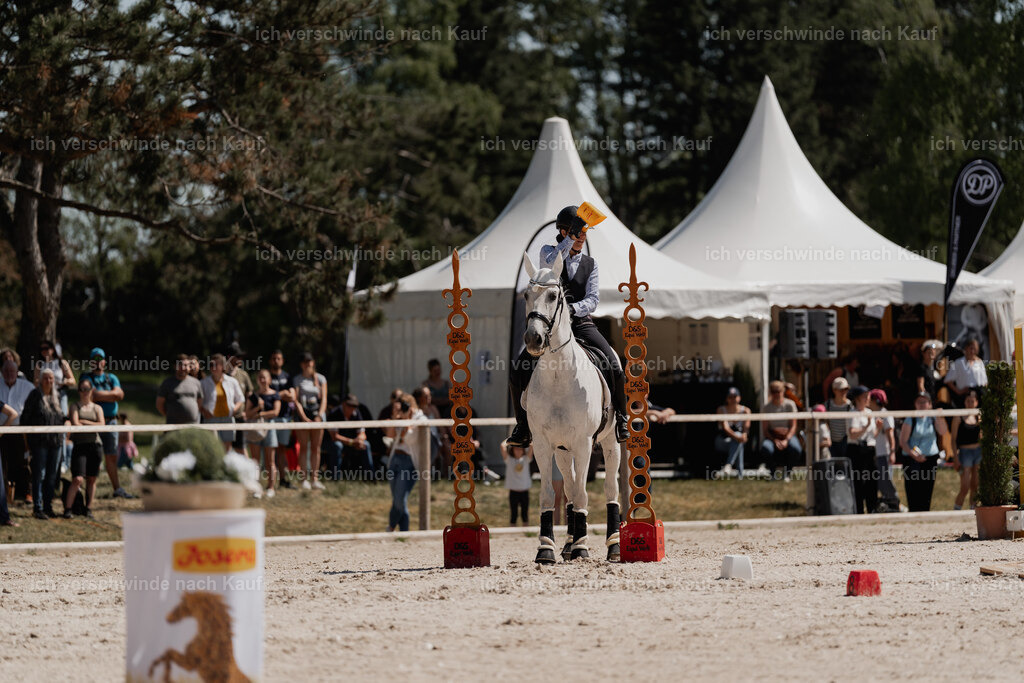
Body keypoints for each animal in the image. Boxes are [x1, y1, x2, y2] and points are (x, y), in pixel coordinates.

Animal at [521, 251, 621, 563]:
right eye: (526, 295)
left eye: (554, 295)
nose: (533, 339)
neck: (558, 375)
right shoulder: (543, 444)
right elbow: (550, 493)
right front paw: (546, 549)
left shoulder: (584, 443)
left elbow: (582, 493)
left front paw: (583, 547)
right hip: (563, 450)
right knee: (569, 483)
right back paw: (567, 544)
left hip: (610, 443)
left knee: (610, 489)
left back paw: (613, 546)